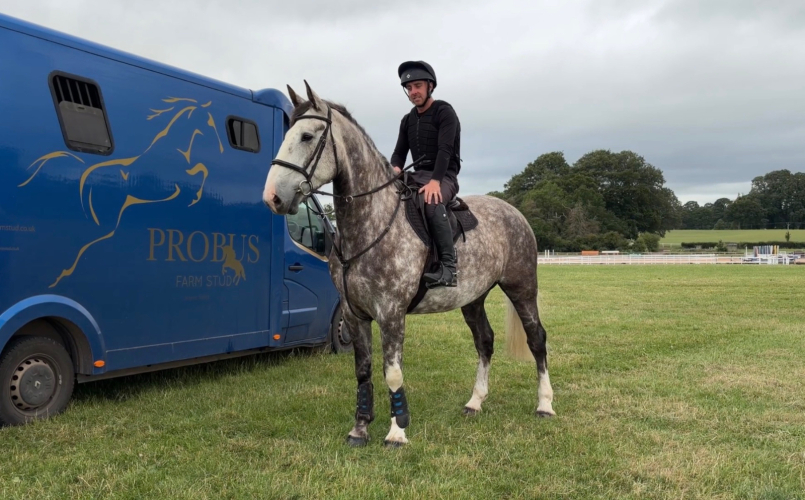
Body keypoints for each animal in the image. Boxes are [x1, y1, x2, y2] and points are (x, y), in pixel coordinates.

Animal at [262, 82, 555, 447]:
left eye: (305, 136)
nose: (272, 197)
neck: (370, 224)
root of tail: (514, 212)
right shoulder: (354, 314)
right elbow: (363, 370)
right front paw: (360, 429)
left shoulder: (391, 312)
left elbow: (392, 372)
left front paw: (397, 431)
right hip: (473, 299)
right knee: (484, 341)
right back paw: (475, 402)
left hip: (521, 288)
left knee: (537, 339)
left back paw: (545, 404)